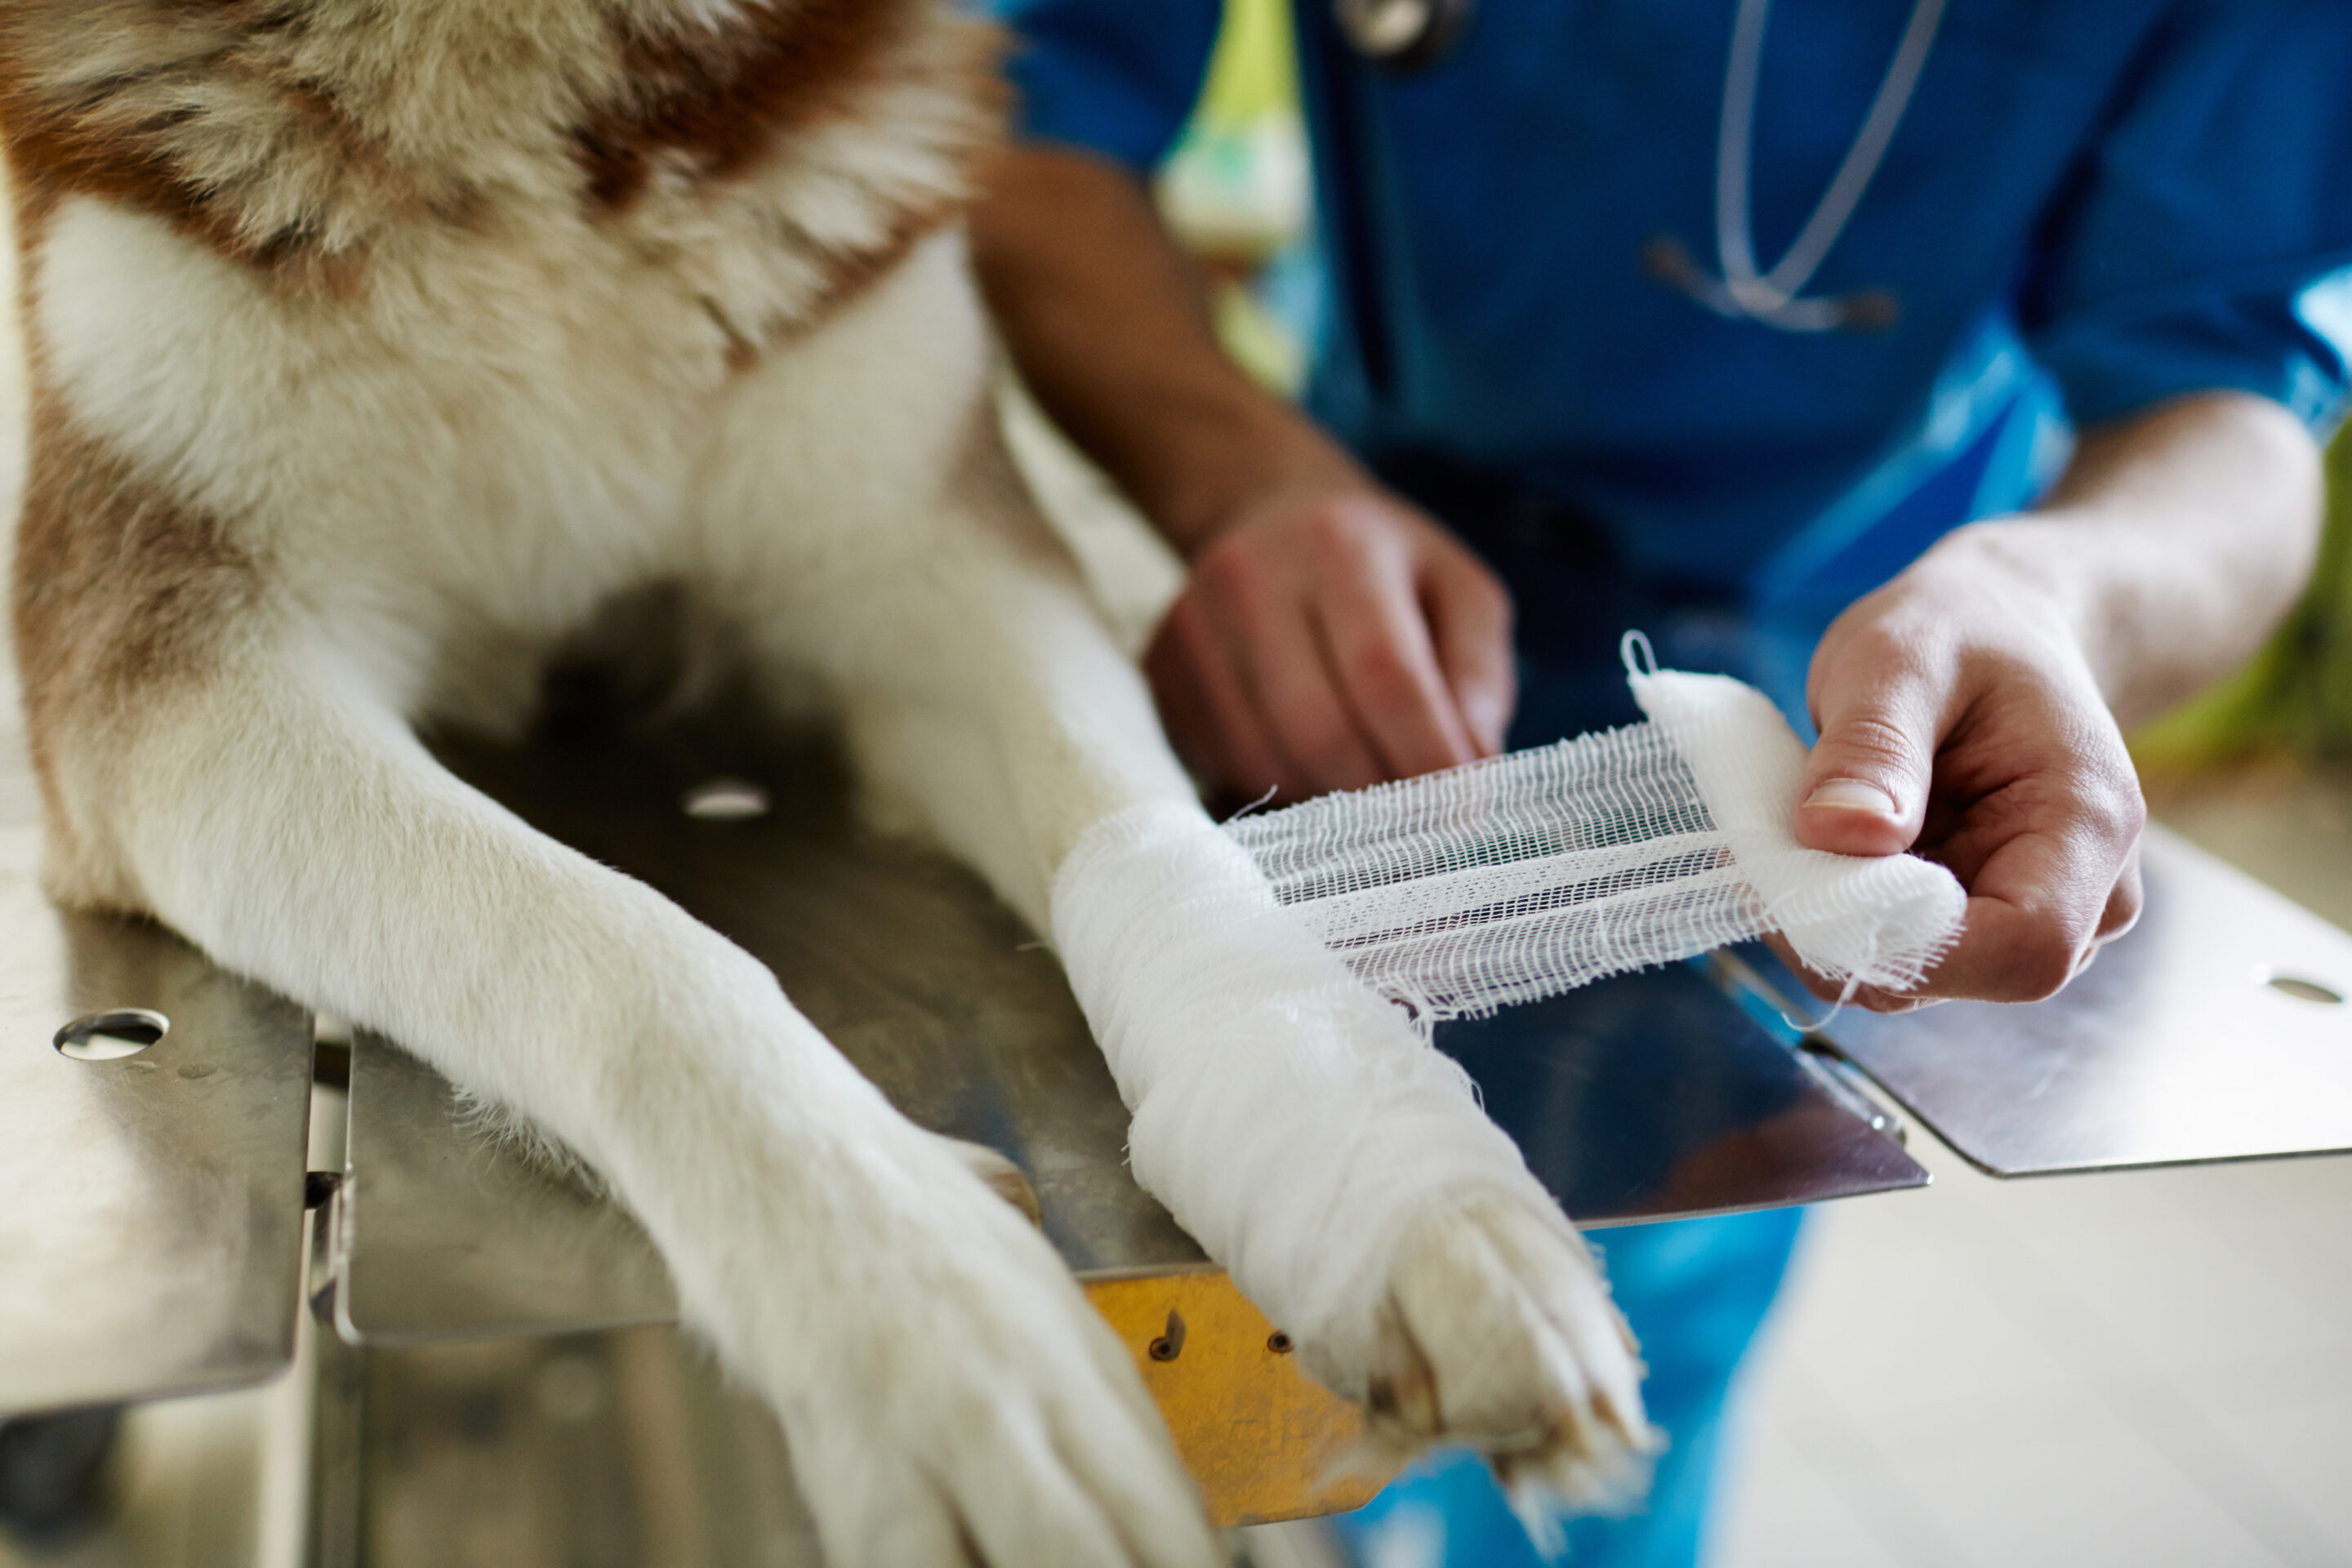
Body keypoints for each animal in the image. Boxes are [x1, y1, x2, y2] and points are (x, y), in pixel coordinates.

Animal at [4, 6, 1655, 1561]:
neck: (527, 76)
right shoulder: (173, 668)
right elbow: (628, 950)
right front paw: (942, 1331)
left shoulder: (922, 550)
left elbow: (1144, 832)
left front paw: (1395, 1188)